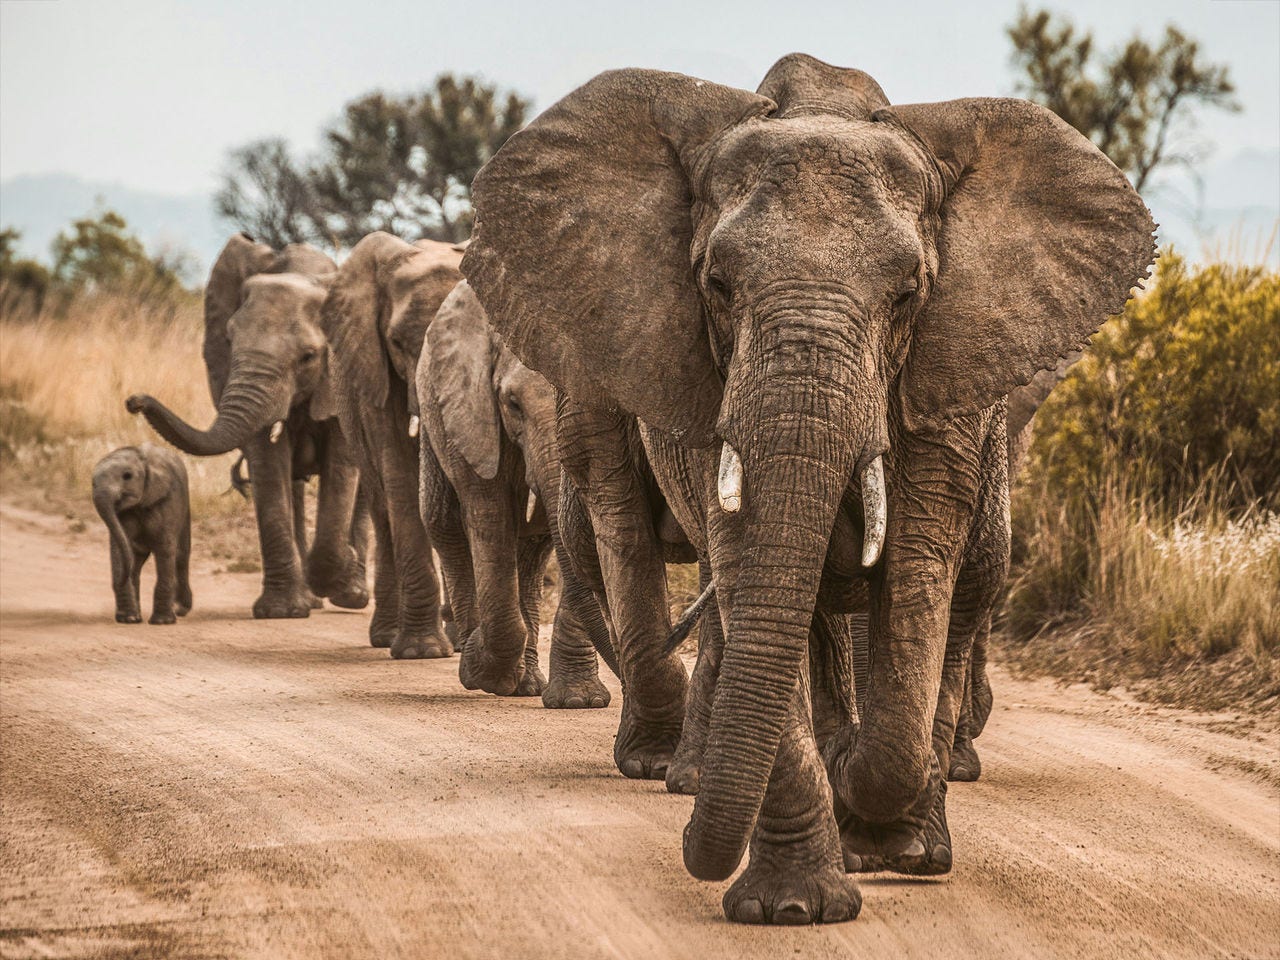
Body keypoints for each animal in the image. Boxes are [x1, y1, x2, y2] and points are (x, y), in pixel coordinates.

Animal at [92, 443, 192, 625]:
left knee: (181, 555)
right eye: (92, 483)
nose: (119, 580)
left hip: (185, 508)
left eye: (127, 476)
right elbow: (120, 547)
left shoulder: (168, 501)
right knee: (136, 562)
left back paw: (180, 610)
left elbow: (165, 548)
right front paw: (128, 619)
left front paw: (162, 622)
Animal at [127, 234, 368, 620]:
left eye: (308, 357)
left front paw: (339, 568)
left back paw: (352, 595)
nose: (134, 401)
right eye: (228, 341)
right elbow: (267, 464)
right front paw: (282, 612)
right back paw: (313, 598)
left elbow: (343, 465)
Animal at [320, 232, 466, 658]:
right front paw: (422, 652)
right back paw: (388, 636)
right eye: (398, 342)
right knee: (382, 507)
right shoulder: (374, 369)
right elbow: (399, 472)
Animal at [416, 279, 612, 706]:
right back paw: (476, 659)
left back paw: (526, 685)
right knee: (445, 525)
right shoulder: (473, 413)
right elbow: (489, 518)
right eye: (512, 403)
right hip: (434, 414)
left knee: (534, 550)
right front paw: (479, 669)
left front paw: (579, 702)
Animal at [460, 54, 1154, 924]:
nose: (690, 847)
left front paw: (883, 827)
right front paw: (795, 907)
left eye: (908, 295)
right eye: (717, 286)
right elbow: (752, 572)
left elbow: (919, 576)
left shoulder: (945, 381)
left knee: (957, 594)